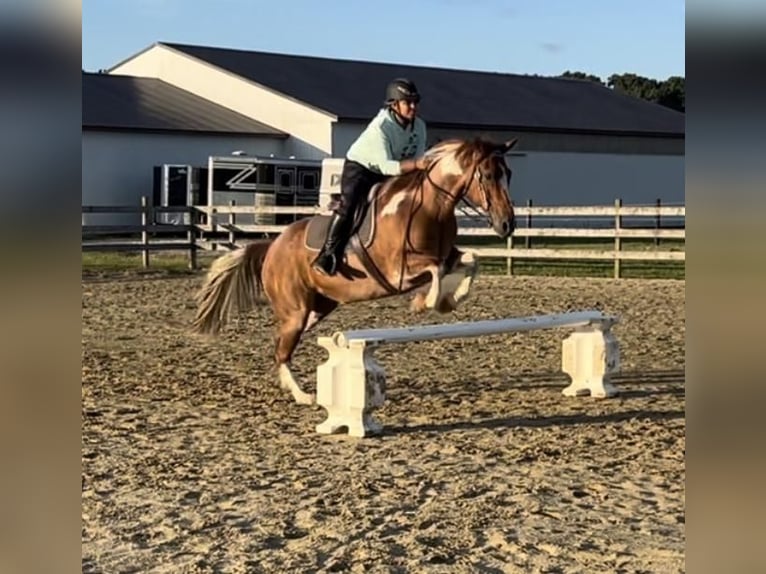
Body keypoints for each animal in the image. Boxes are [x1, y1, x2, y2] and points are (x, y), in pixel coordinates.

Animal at [190, 136, 520, 404]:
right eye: (487, 175)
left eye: (508, 174)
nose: (507, 224)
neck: (431, 206)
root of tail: (272, 246)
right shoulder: (399, 272)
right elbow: (436, 272)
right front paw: (424, 303)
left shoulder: (447, 256)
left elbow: (471, 260)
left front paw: (451, 300)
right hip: (297, 311)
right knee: (282, 349)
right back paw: (303, 395)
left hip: (318, 308)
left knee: (280, 342)